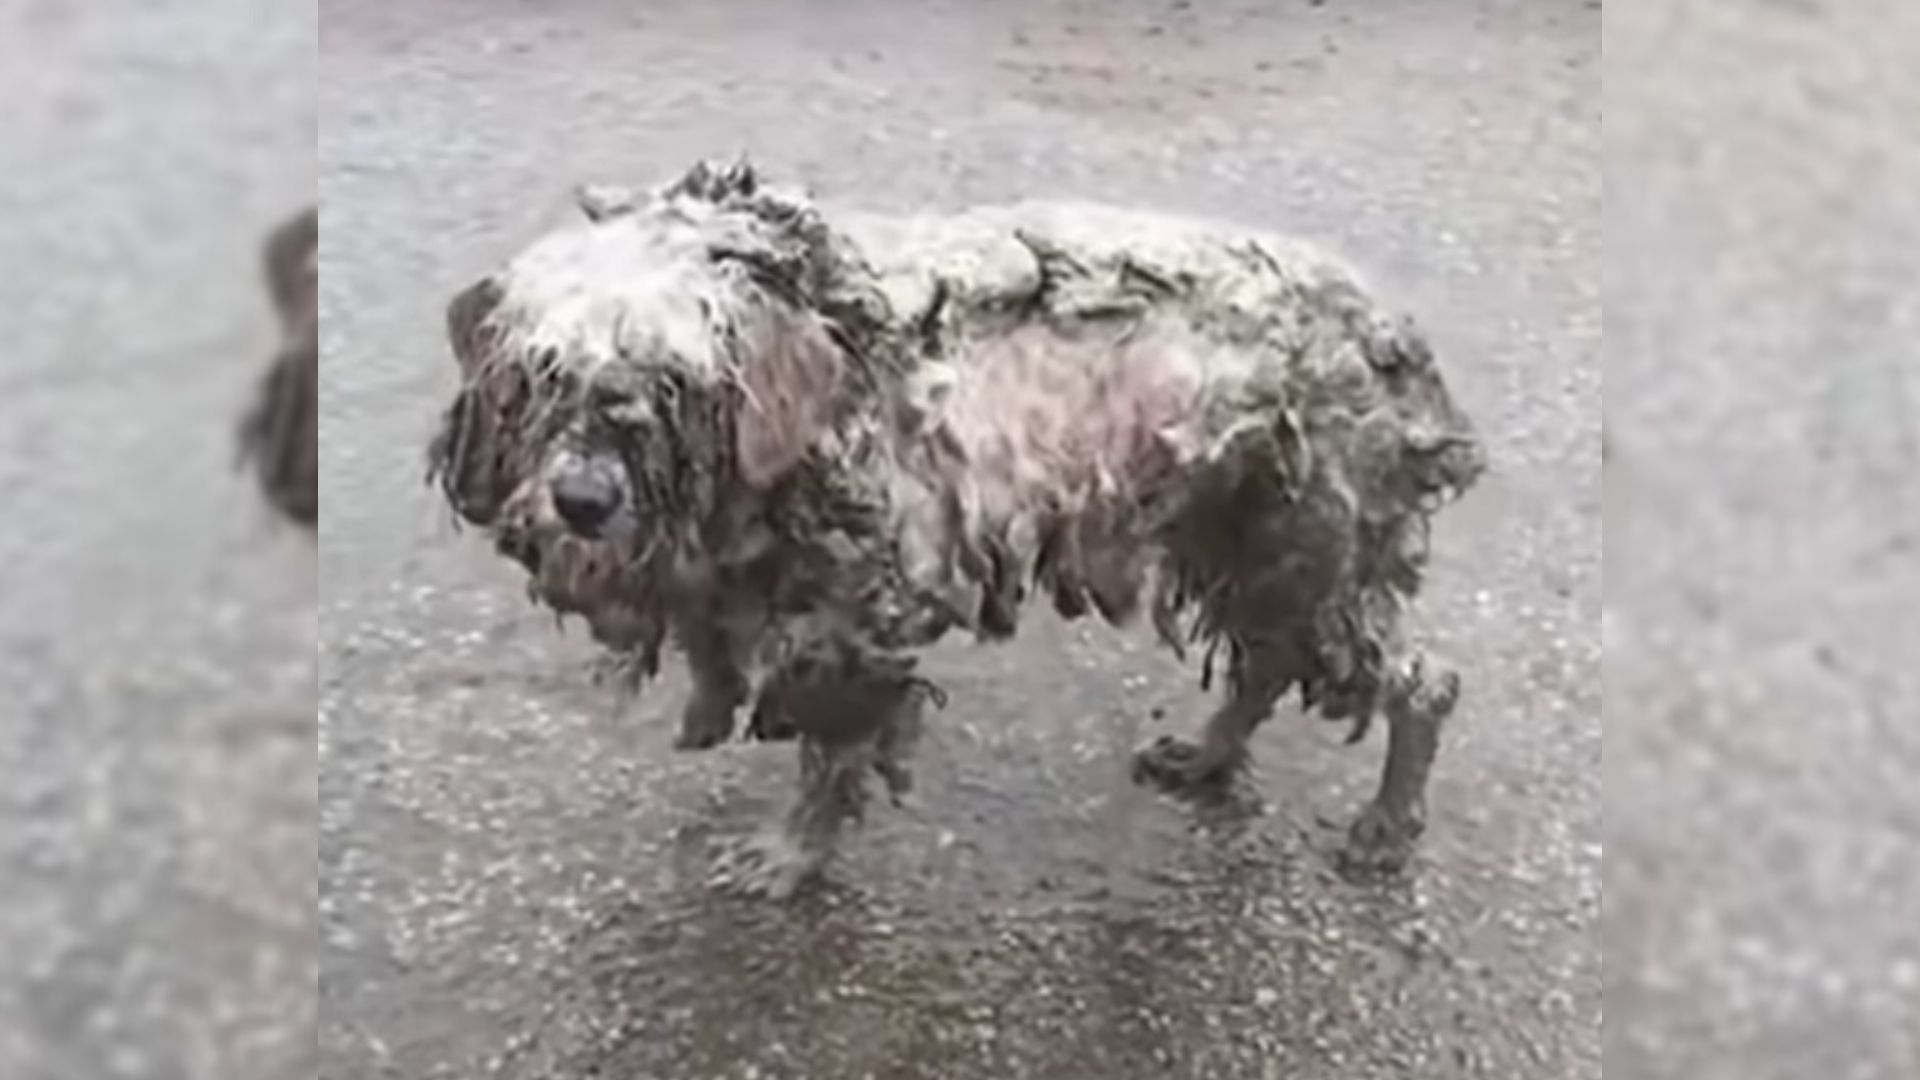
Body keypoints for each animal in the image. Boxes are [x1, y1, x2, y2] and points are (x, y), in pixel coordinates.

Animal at [432, 161, 1482, 891]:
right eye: (543, 378)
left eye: (673, 384)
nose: (582, 501)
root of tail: (1398, 333)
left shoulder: (856, 619)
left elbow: (833, 755)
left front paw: (792, 856)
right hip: (1241, 536)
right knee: (1265, 662)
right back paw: (1209, 756)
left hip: (1315, 547)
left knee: (1420, 685)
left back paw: (1385, 829)